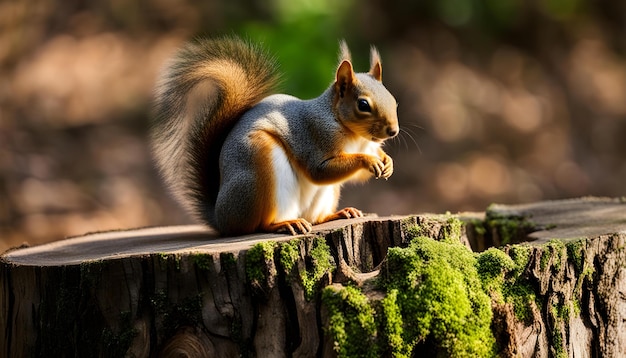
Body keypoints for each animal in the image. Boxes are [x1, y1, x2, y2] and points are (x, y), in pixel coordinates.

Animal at [150, 36, 394, 236]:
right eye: (363, 105)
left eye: (393, 100)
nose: (393, 131)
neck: (356, 137)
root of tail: (221, 218)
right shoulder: (313, 135)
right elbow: (319, 171)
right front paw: (368, 160)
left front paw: (387, 162)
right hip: (258, 168)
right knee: (258, 226)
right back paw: (284, 224)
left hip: (326, 196)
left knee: (316, 219)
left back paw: (340, 213)